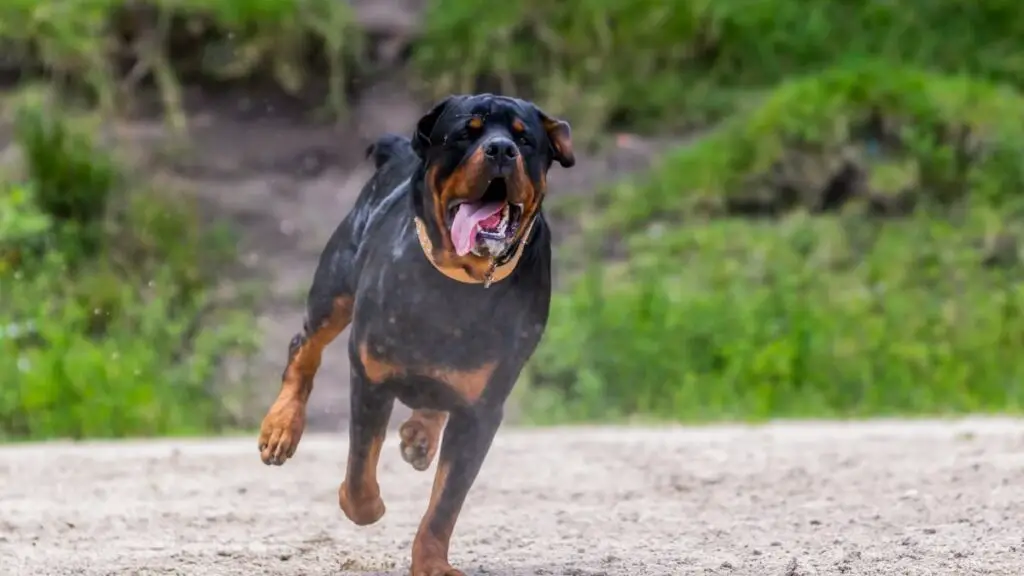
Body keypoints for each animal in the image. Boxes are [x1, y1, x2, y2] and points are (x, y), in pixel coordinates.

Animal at [256, 91, 577, 569]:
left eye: (526, 139)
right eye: (466, 131)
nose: (502, 150)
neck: (458, 283)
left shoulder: (481, 410)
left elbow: (446, 503)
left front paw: (432, 564)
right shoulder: (370, 375)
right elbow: (360, 468)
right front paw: (365, 505)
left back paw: (421, 434)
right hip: (335, 287)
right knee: (305, 346)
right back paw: (281, 426)